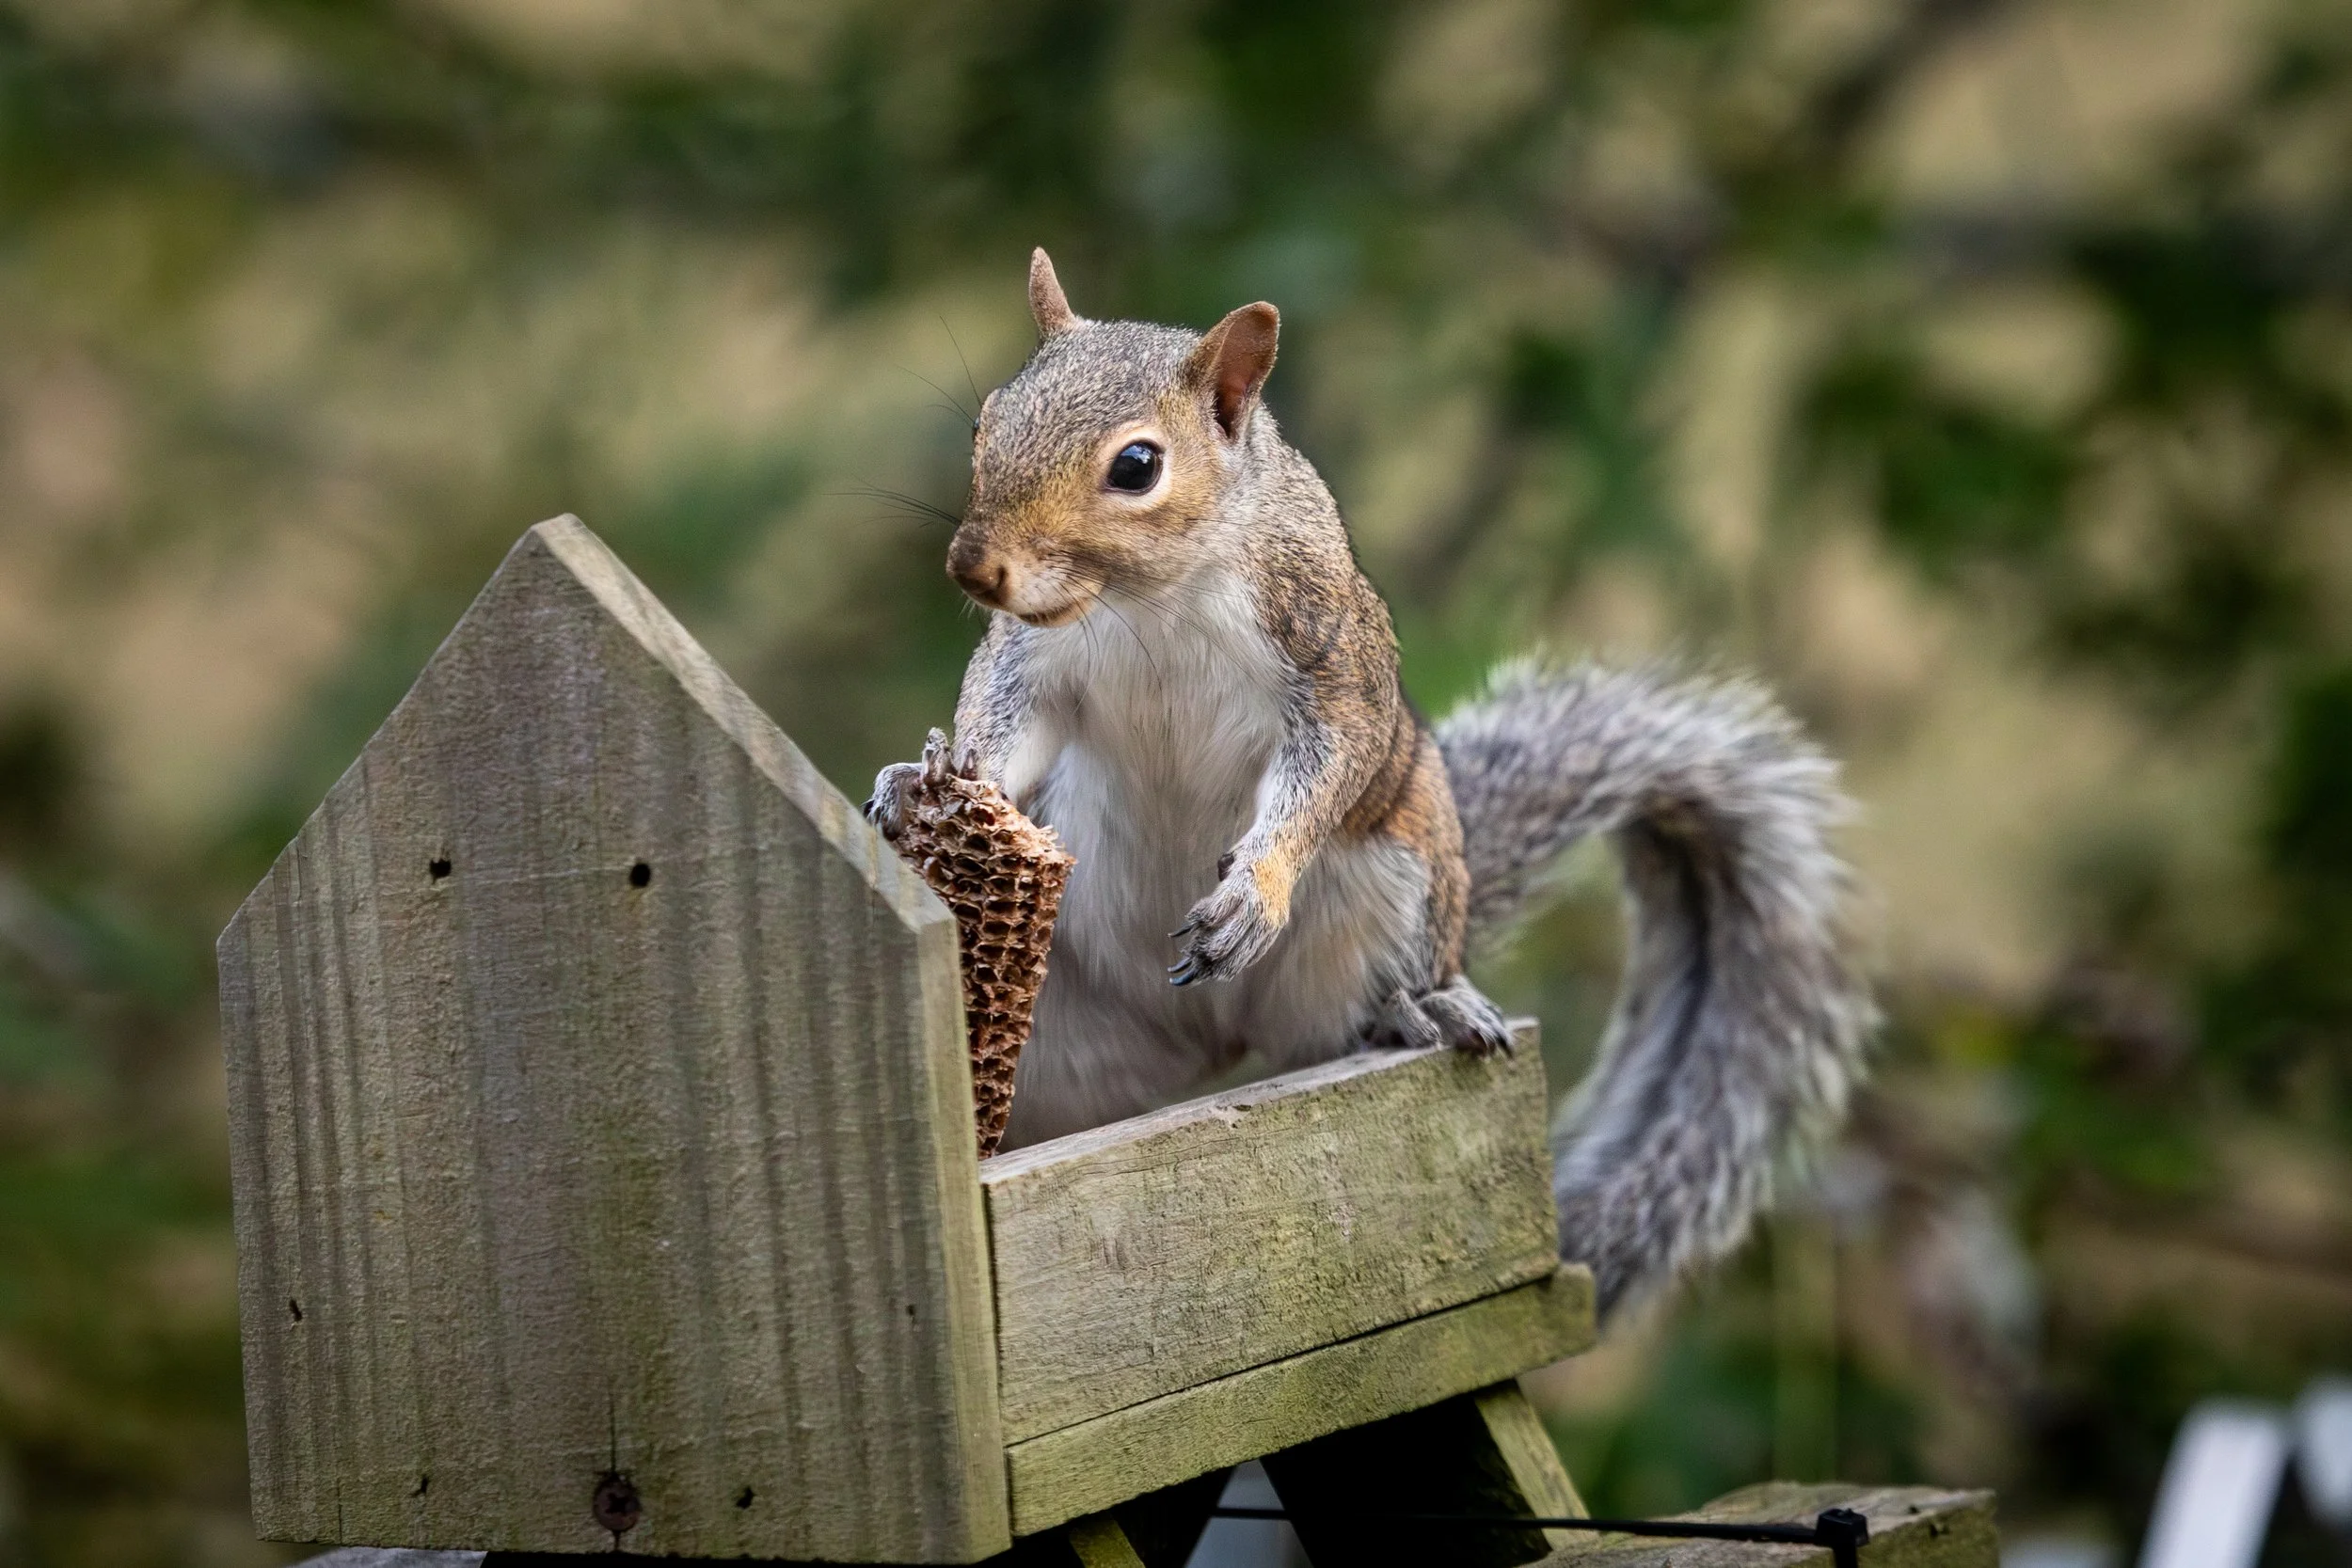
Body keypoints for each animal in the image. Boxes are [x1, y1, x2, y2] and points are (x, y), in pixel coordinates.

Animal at [868, 250, 1873, 1316]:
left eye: (1136, 466)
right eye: (987, 418)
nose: (972, 566)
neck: (1150, 599)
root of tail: (1204, 1045)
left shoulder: (1327, 661)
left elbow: (1323, 774)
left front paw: (1254, 894)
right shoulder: (1036, 662)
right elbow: (1003, 724)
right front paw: (928, 775)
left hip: (1400, 882)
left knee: (1357, 1016)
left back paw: (1422, 1009)